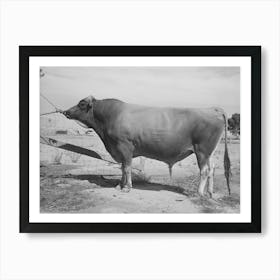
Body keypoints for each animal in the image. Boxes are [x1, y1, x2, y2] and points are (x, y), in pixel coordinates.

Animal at [64, 96, 232, 197]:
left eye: (81, 104)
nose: (66, 111)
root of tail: (213, 108)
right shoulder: (121, 151)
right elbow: (123, 169)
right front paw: (120, 185)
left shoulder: (125, 147)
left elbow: (127, 168)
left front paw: (127, 187)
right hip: (209, 152)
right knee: (212, 169)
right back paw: (210, 192)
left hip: (201, 150)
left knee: (204, 171)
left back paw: (199, 192)